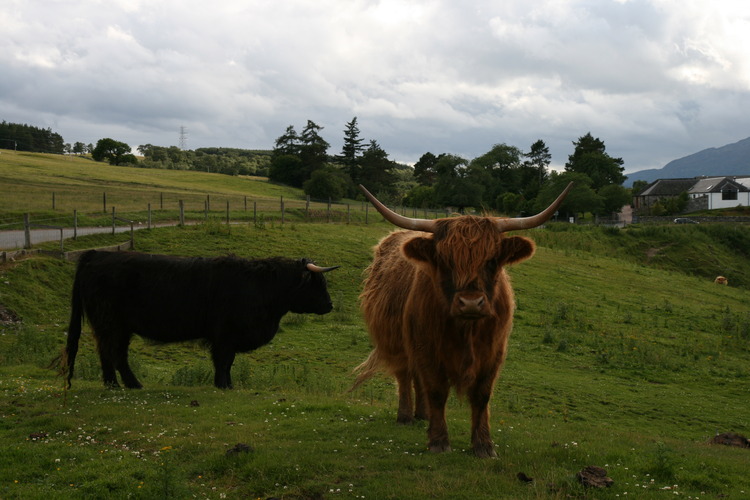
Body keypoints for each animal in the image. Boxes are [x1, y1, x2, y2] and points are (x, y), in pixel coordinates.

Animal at [63, 252, 340, 388]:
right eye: (318, 283)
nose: (329, 305)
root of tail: (95, 256)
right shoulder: (224, 335)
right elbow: (224, 362)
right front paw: (223, 385)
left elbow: (227, 363)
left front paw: (227, 384)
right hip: (112, 323)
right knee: (113, 353)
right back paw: (125, 384)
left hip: (115, 326)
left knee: (109, 353)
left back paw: (119, 385)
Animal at [352, 183, 568, 458]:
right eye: (445, 261)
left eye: (492, 260)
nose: (471, 303)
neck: (467, 330)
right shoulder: (426, 348)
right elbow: (436, 391)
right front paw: (439, 441)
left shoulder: (493, 354)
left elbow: (482, 395)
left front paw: (484, 446)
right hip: (395, 340)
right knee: (405, 376)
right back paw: (406, 416)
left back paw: (422, 415)